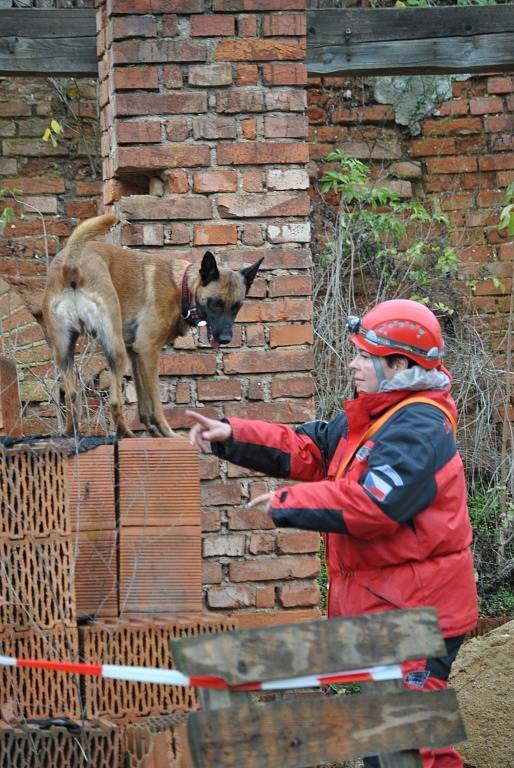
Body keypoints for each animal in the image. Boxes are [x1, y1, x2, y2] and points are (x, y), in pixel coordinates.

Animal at [42, 213, 262, 438]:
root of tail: (71, 268)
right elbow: (155, 402)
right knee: (114, 401)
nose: (225, 339)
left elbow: (143, 403)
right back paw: (125, 433)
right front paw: (168, 433)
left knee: (71, 395)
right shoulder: (148, 350)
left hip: (64, 352)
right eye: (215, 303)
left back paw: (71, 432)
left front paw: (154, 432)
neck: (182, 286)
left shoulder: (135, 352)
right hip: (115, 348)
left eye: (237, 307)